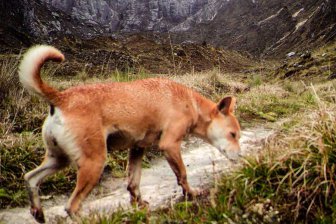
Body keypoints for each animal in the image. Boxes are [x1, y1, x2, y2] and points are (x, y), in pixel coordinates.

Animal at [19, 45, 242, 222]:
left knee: (30, 178)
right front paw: (191, 194)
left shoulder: (137, 149)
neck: (191, 103)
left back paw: (38, 212)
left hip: (59, 160)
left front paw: (139, 205)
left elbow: (133, 183)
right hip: (94, 163)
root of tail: (61, 98)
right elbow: (182, 175)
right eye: (233, 135)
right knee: (71, 206)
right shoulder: (170, 145)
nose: (241, 157)